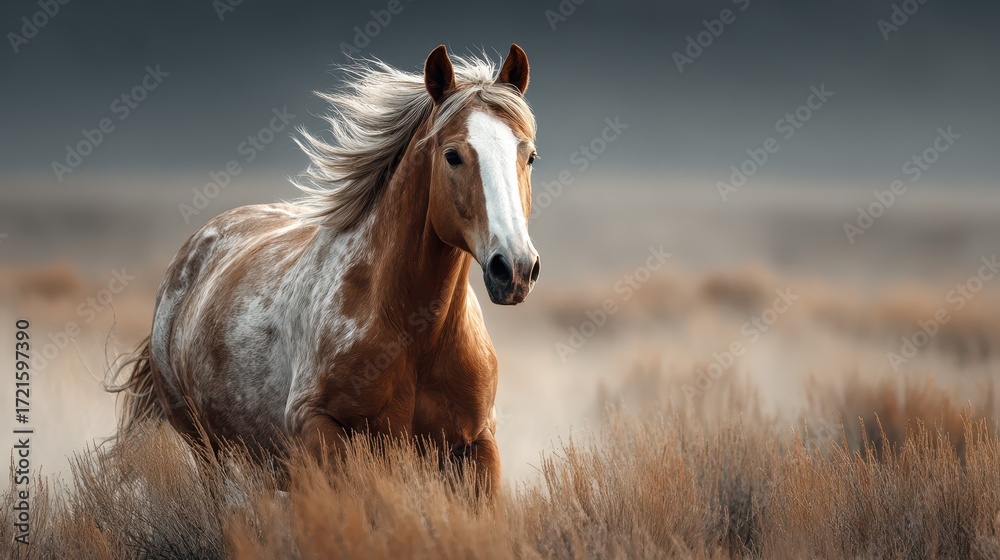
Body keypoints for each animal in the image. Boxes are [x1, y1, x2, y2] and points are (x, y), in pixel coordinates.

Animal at [113, 44, 540, 495]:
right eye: (453, 155)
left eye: (529, 155)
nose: (514, 268)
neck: (414, 333)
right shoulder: (319, 430)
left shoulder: (476, 445)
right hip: (208, 451)